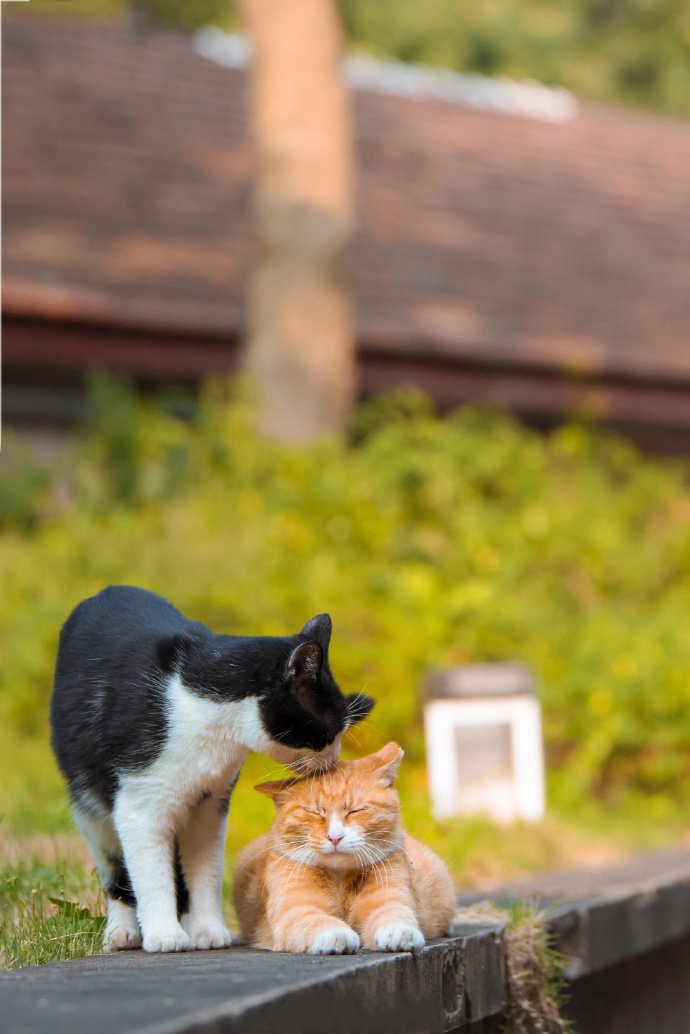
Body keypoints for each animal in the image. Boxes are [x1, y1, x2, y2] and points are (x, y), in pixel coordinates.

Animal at [49, 587, 372, 955]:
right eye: (329, 732)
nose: (334, 758)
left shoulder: (211, 803)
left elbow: (206, 870)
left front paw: (207, 929)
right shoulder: (140, 804)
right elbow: (150, 871)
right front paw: (164, 934)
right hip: (90, 805)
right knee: (115, 866)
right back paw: (122, 932)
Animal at [233, 744, 459, 951]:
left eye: (355, 810)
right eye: (315, 812)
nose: (335, 837)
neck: (339, 878)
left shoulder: (390, 898)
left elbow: (393, 914)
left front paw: (401, 933)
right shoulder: (295, 910)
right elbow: (316, 920)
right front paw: (336, 933)